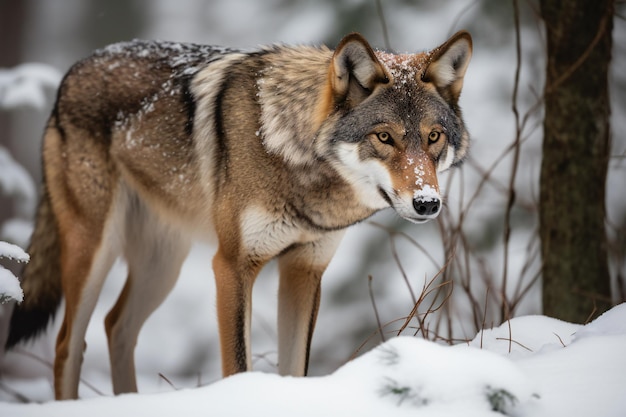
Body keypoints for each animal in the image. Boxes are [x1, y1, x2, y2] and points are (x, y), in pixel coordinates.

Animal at [6, 30, 468, 398]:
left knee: (116, 327)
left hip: (163, 267)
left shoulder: (305, 269)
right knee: (68, 344)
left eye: (433, 137)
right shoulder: (232, 266)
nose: (427, 203)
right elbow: (237, 366)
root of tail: (71, 72)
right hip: (96, 253)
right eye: (384, 137)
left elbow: (294, 370)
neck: (294, 157)